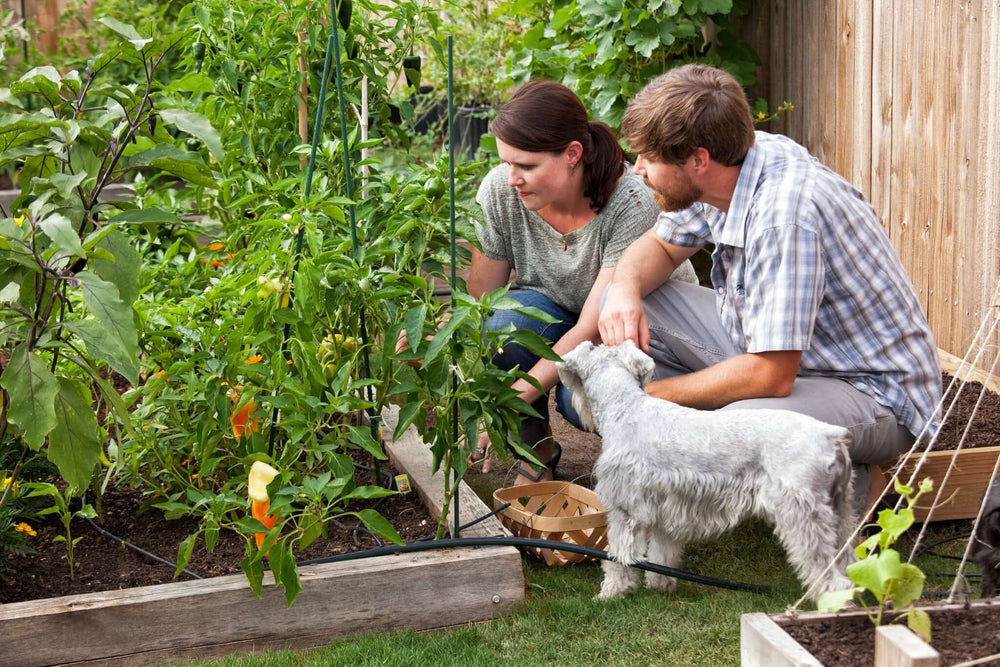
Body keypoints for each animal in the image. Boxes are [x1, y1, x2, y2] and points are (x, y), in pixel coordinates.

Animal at [560, 342, 856, 604]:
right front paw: (660, 584)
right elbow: (662, 553)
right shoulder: (666, 508)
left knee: (831, 576)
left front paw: (611, 593)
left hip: (803, 517)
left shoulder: (624, 511)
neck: (625, 407)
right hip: (839, 515)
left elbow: (619, 558)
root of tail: (830, 436)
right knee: (849, 563)